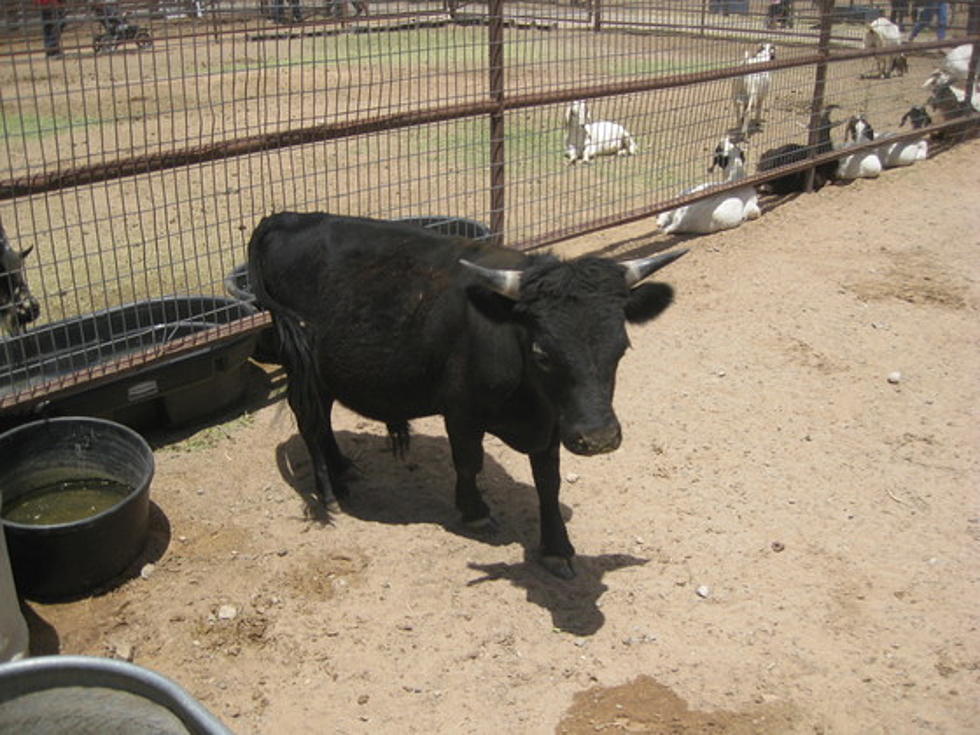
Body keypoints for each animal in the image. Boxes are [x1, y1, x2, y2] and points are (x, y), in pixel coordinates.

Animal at [249, 213, 684, 580]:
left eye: (621, 348)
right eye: (542, 353)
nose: (599, 438)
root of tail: (285, 217)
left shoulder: (552, 424)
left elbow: (549, 481)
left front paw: (556, 547)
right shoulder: (461, 412)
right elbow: (468, 462)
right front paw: (474, 512)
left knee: (323, 421)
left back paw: (344, 470)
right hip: (303, 365)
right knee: (310, 421)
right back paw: (328, 492)